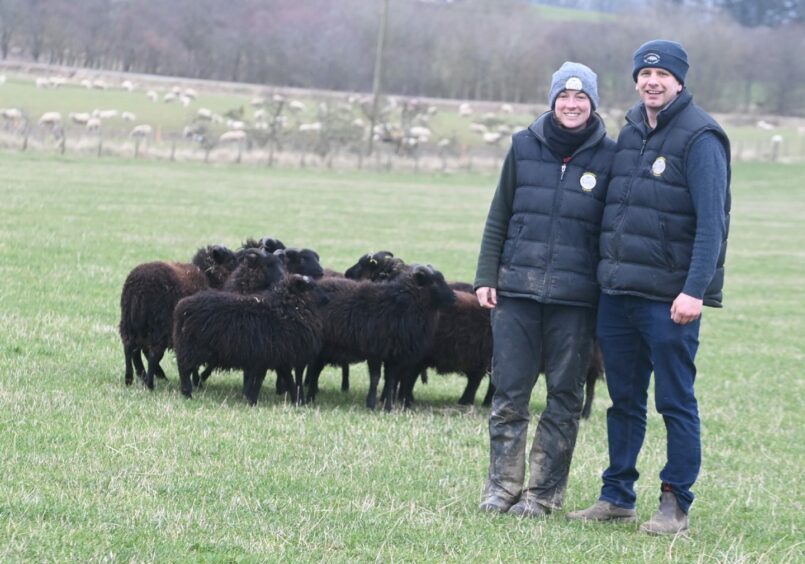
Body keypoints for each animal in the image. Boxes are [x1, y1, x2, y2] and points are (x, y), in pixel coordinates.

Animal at [118, 245, 239, 390]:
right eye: (231, 260)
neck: (209, 278)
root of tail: (138, 289)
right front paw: (197, 382)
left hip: (129, 324)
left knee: (129, 348)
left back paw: (130, 378)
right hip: (158, 328)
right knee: (152, 354)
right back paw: (150, 384)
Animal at [174, 274, 328, 404]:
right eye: (312, 286)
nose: (327, 298)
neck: (289, 308)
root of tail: (182, 306)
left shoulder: (276, 358)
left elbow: (285, 379)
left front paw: (296, 401)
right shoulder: (268, 357)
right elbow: (260, 380)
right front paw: (253, 401)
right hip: (193, 348)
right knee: (183, 369)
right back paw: (187, 393)